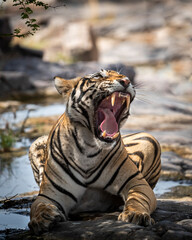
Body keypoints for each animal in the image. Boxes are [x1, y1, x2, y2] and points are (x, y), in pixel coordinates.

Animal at [28, 69, 160, 234]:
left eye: (123, 76)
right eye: (98, 76)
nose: (126, 81)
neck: (88, 147)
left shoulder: (136, 183)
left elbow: (138, 199)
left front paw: (136, 214)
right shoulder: (50, 195)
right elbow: (38, 206)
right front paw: (42, 219)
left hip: (150, 139)